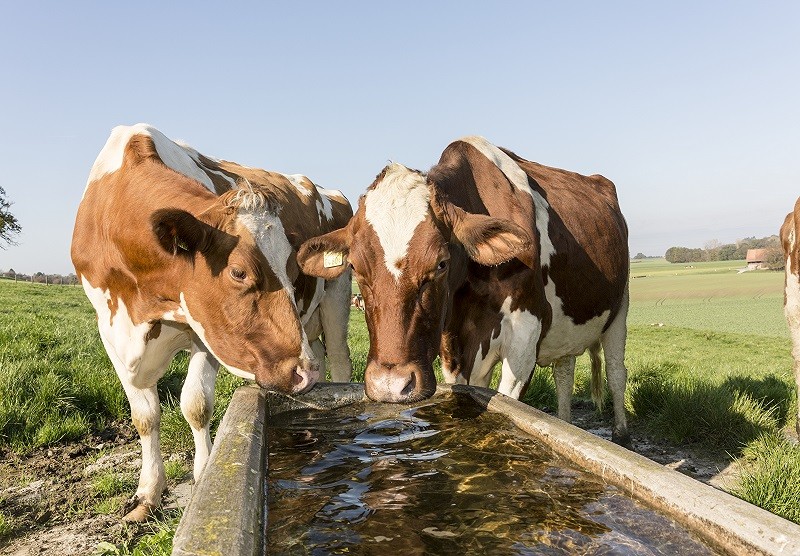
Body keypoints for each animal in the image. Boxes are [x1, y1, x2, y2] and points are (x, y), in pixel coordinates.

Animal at [72, 122, 354, 520]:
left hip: (337, 296)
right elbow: (144, 417)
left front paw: (204, 476)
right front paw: (146, 495)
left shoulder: (204, 332)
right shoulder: (110, 331)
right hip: (311, 324)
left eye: (293, 268)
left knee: (341, 359)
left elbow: (195, 404)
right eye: (238, 272)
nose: (304, 372)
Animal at [300, 137, 632, 446]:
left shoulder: (525, 336)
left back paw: (621, 434)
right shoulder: (454, 343)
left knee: (616, 373)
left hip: (620, 310)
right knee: (564, 372)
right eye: (355, 267)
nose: (390, 385)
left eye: (441, 263)